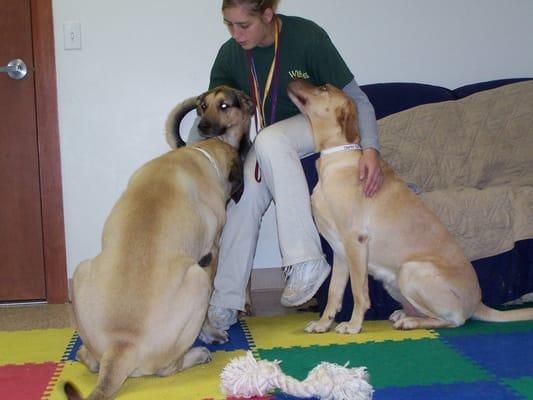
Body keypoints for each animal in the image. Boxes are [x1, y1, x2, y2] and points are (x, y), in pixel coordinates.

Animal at [63, 86, 255, 398]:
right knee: (168, 368)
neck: (201, 155)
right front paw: (212, 332)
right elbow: (207, 312)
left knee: (90, 360)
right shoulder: (210, 255)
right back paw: (198, 354)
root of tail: (122, 346)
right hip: (197, 279)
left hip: (80, 271)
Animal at [286, 78, 532, 334]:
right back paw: (403, 314)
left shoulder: (355, 243)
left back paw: (410, 321)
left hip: (410, 270)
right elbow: (335, 293)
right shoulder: (340, 251)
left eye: (323, 88)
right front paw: (323, 324)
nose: (293, 79)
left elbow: (359, 292)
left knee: (454, 320)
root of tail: (478, 302)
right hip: (395, 281)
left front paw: (353, 326)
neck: (335, 157)